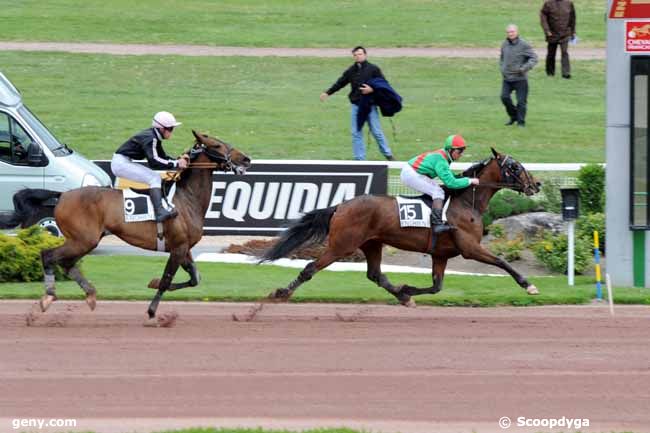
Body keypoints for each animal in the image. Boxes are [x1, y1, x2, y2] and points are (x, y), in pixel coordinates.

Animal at [0, 128, 249, 320]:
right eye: (217, 145)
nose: (246, 158)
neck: (186, 199)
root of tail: (62, 196)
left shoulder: (184, 247)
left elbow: (194, 279)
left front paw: (152, 283)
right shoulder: (178, 247)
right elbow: (167, 280)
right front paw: (151, 311)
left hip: (85, 240)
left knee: (67, 263)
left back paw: (90, 295)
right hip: (84, 239)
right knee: (49, 256)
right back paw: (49, 296)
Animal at [260, 148, 540, 308]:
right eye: (515, 166)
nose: (536, 184)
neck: (465, 202)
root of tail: (341, 206)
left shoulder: (441, 254)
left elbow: (437, 286)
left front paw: (407, 290)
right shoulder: (470, 248)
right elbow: (502, 262)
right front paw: (528, 285)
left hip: (372, 243)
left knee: (375, 274)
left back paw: (402, 296)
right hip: (342, 245)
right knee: (310, 268)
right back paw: (281, 293)